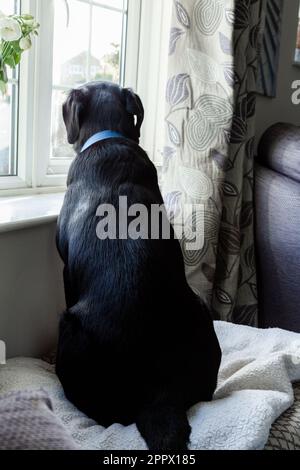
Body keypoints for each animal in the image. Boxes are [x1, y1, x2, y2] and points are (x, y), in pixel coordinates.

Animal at [55, 81, 220, 452]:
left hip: (69, 327)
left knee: (104, 414)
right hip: (203, 313)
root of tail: (158, 395)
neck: (108, 135)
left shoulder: (65, 271)